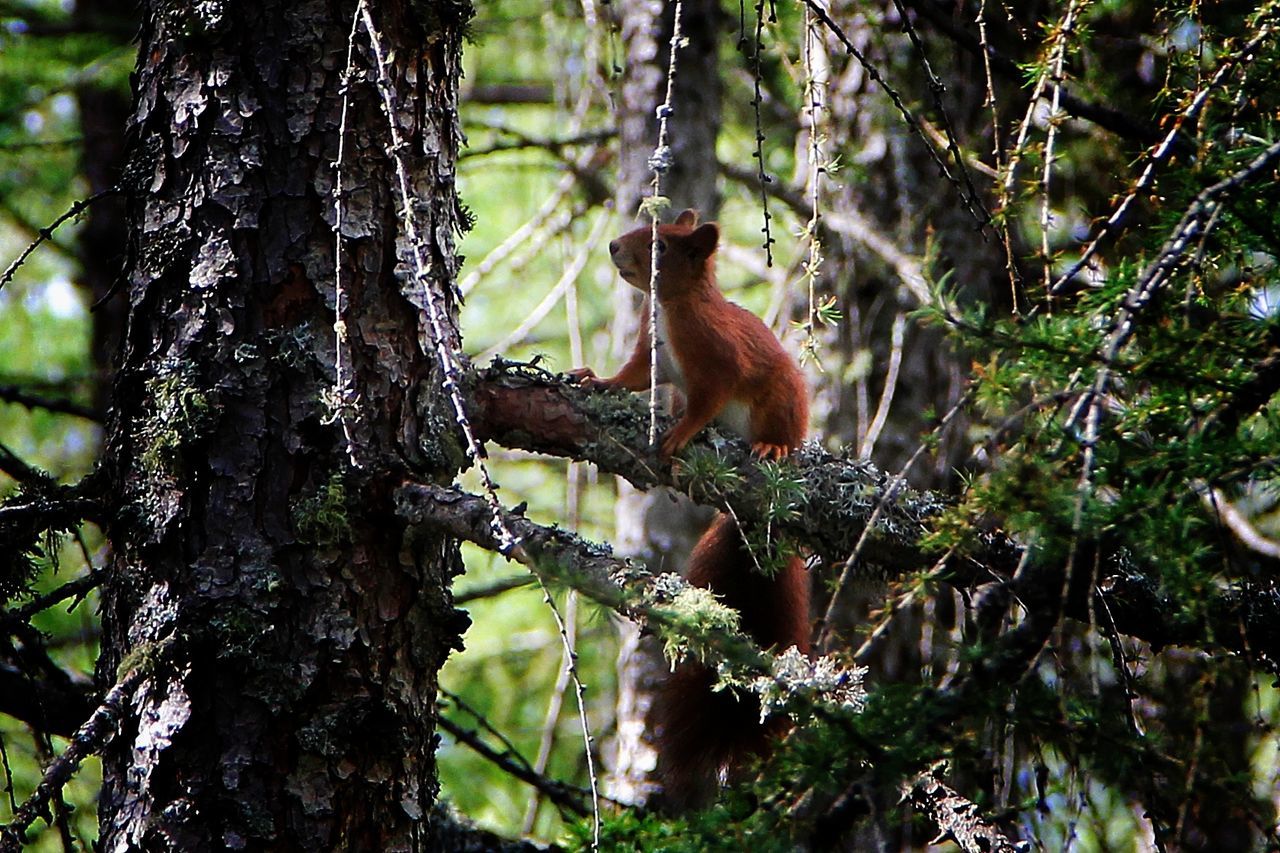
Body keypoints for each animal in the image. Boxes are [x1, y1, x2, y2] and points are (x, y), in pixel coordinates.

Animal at [573, 208, 808, 809]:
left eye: (661, 246)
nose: (613, 246)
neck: (670, 308)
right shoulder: (651, 357)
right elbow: (629, 378)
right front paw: (593, 379)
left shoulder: (718, 362)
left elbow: (706, 401)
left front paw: (679, 435)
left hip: (782, 398)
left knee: (780, 429)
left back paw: (774, 448)